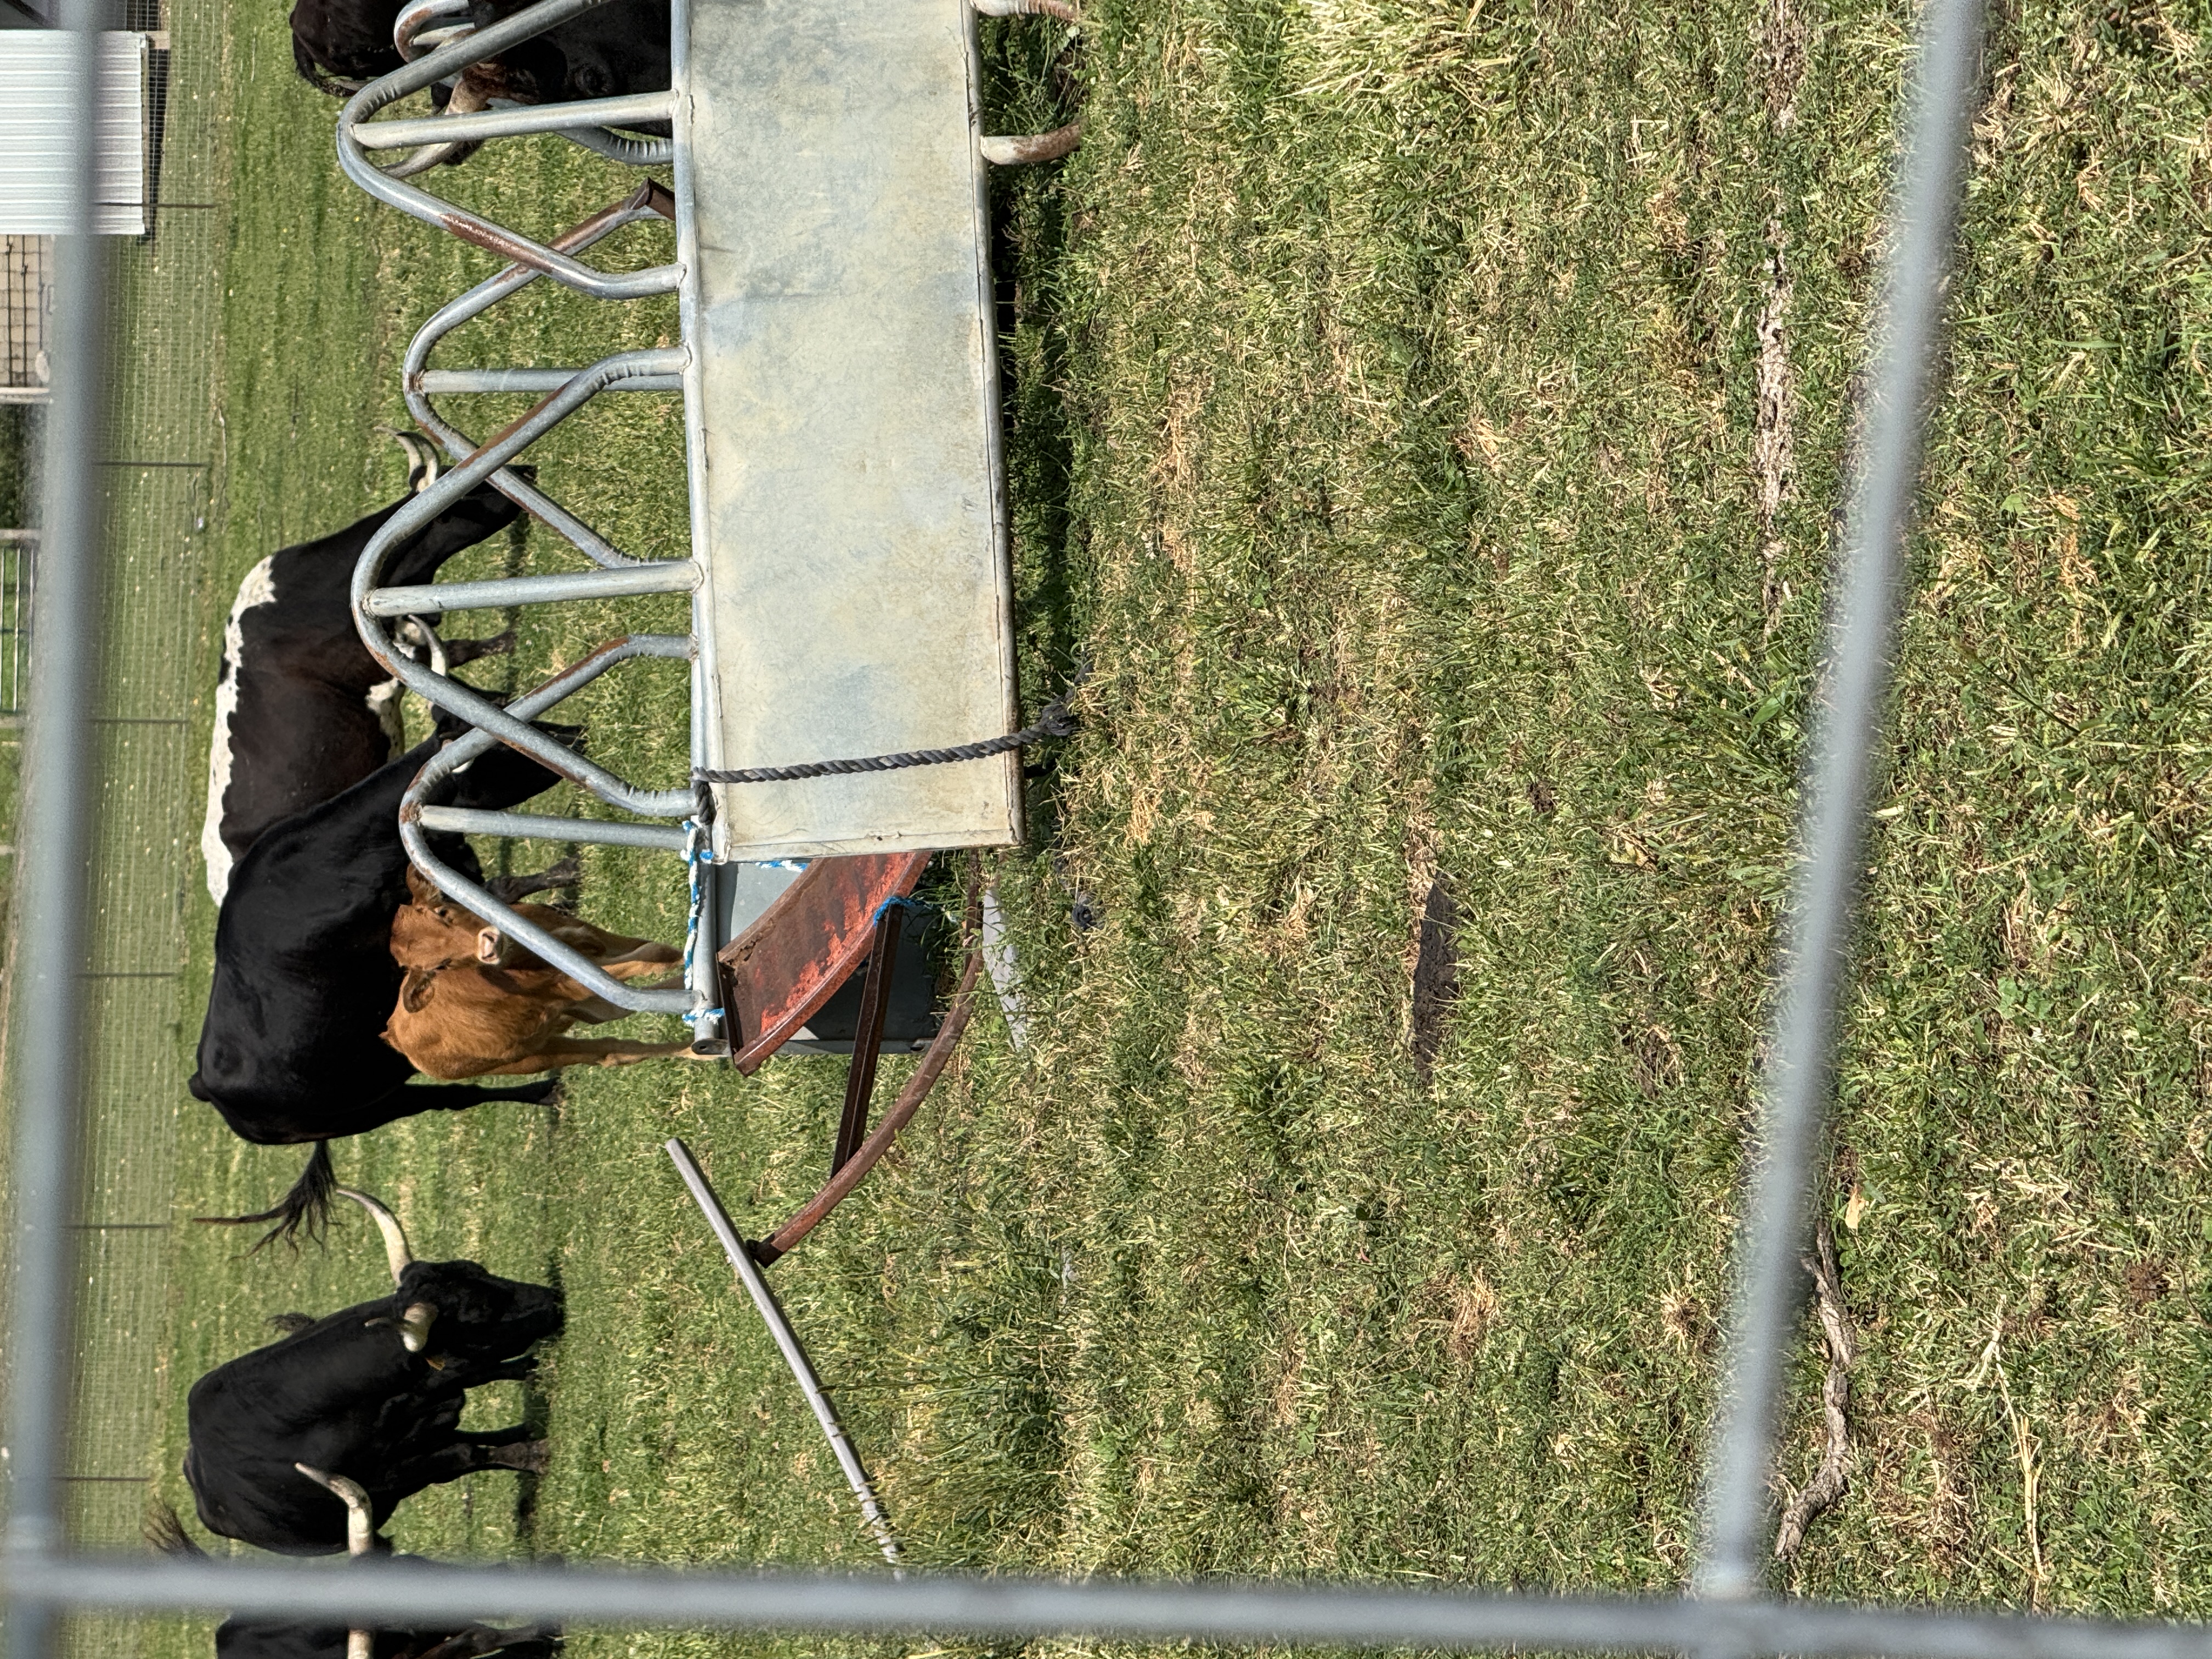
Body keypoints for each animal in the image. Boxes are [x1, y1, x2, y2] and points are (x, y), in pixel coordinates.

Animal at [185, 1190, 562, 1560]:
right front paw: (538, 1456)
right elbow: (473, 1453)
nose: (556, 1299)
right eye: (480, 1312)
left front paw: (532, 1380)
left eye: (477, 1268)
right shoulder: (400, 1472)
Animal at [192, 721, 582, 1248]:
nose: (577, 734)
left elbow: (506, 889)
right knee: (457, 1098)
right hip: (373, 1108)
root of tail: (204, 1082)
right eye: (501, 750)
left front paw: (563, 883)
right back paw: (543, 1092)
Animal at [202, 475, 520, 906]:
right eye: (467, 495)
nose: (529, 470)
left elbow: (459, 652)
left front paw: (506, 648)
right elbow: (450, 667)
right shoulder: (387, 662)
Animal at [383, 868, 692, 1079]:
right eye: (440, 966)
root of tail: (393, 1033)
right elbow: (653, 956)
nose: (488, 946)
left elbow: (649, 950)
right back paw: (695, 1049)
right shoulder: (575, 985)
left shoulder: (589, 934)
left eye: (442, 911)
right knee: (613, 1050)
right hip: (532, 1057)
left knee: (612, 1014)